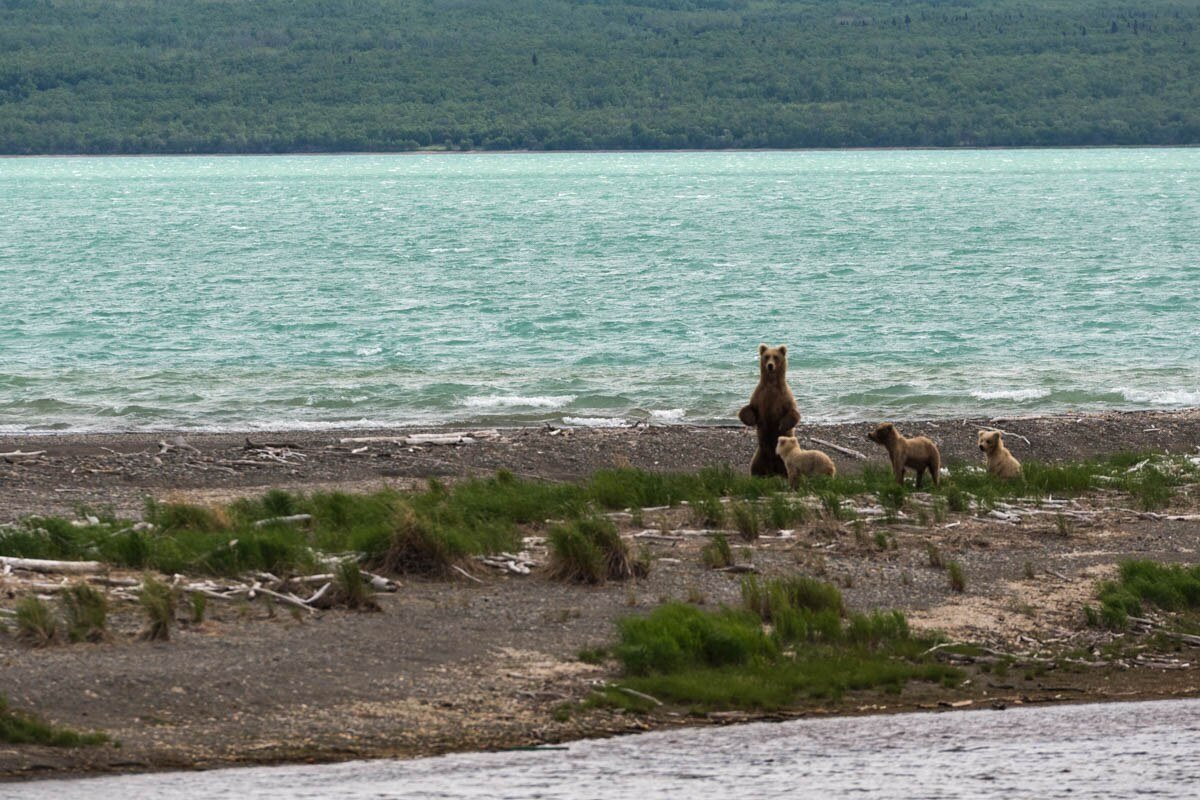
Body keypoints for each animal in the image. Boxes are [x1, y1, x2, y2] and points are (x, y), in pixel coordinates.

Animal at [738, 344, 801, 477]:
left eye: (776, 356)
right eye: (766, 356)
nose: (770, 365)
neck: (771, 384)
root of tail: (773, 470)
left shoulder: (784, 397)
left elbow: (793, 413)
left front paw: (782, 425)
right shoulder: (760, 395)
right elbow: (750, 409)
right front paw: (750, 420)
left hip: (785, 461)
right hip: (760, 455)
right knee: (755, 468)